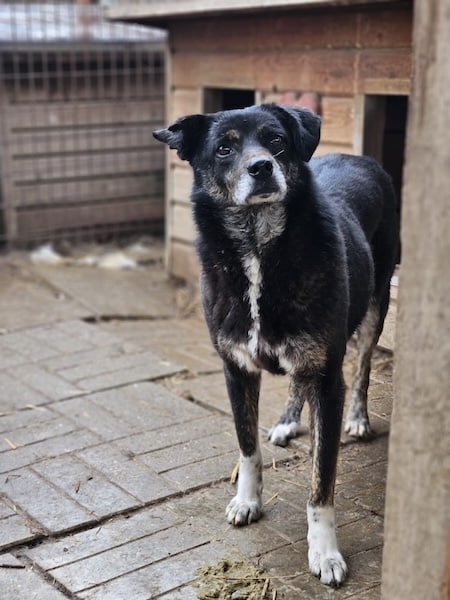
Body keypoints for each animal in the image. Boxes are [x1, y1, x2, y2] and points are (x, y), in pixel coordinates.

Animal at [154, 103, 399, 586]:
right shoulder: (236, 370)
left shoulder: (327, 380)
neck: (257, 249)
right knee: (293, 380)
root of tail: (363, 158)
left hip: (374, 308)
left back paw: (358, 418)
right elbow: (247, 447)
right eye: (224, 148)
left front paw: (324, 552)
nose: (262, 167)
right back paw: (287, 421)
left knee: (362, 369)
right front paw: (248, 501)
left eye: (276, 141)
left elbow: (322, 480)